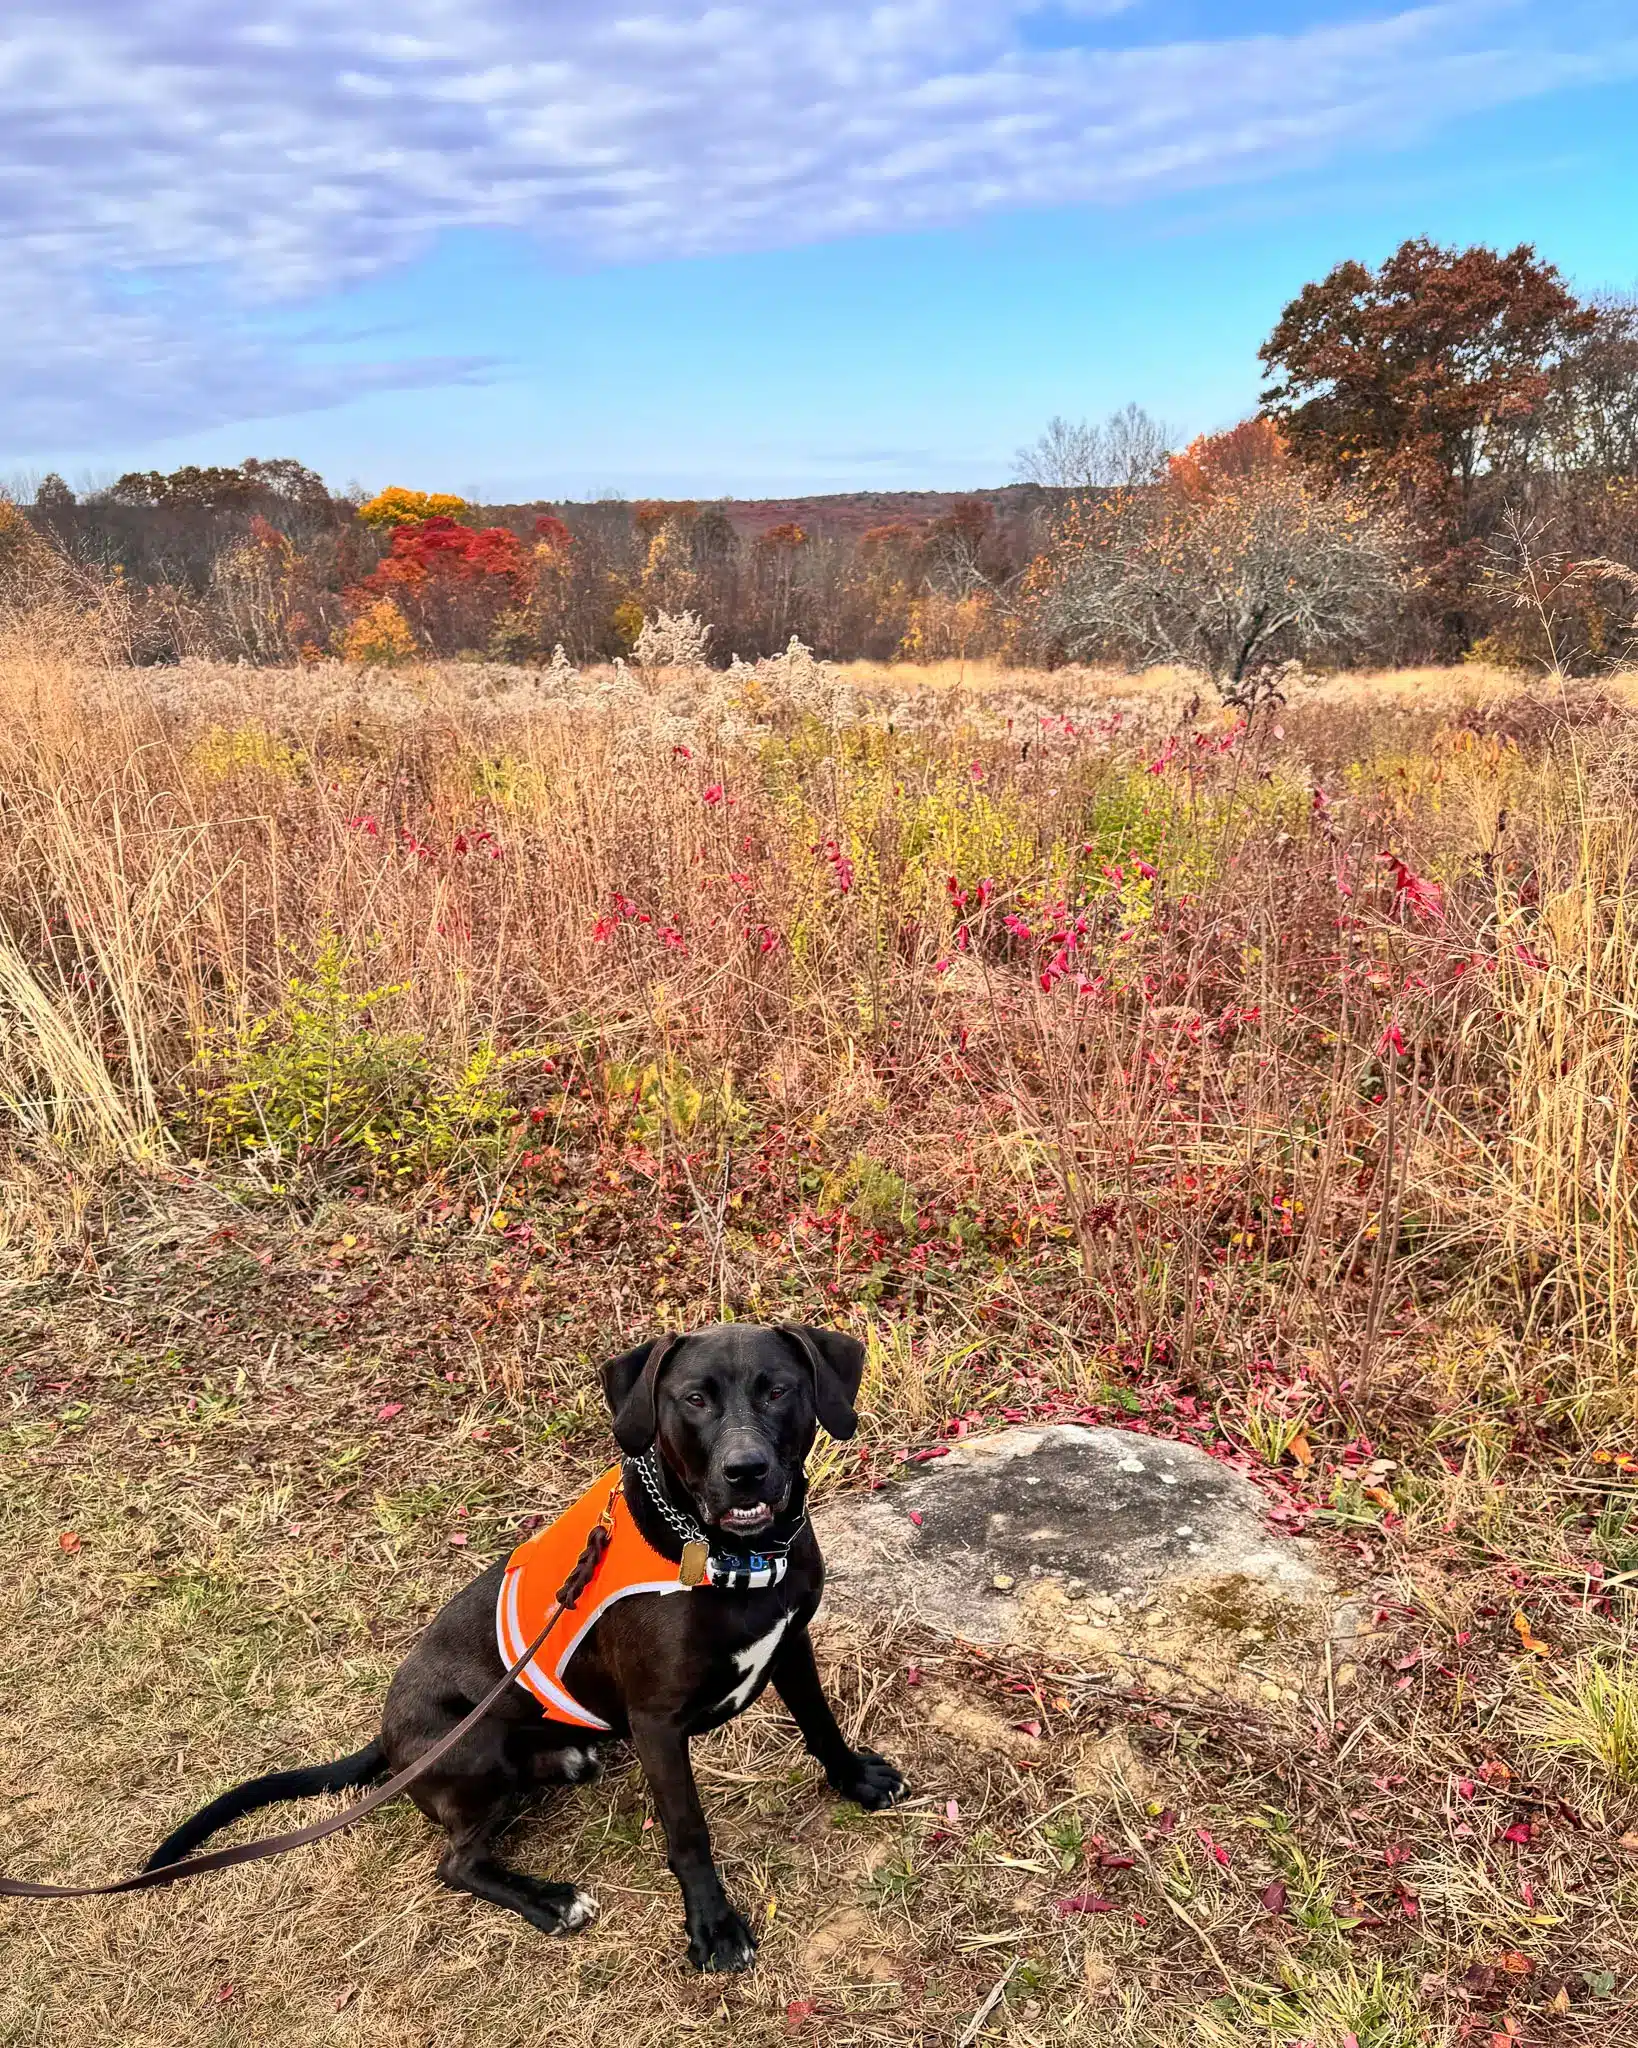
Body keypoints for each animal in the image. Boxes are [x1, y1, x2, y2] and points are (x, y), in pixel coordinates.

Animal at [142, 1327, 900, 1966]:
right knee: (455, 1865)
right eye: (695, 1399)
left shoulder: (791, 1643)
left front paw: (855, 1779)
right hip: (477, 1752)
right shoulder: (658, 1724)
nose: (746, 1469)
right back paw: (551, 1900)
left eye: (778, 1389)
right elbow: (689, 1832)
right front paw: (712, 1928)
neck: (729, 1554)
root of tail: (386, 1737)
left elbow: (821, 1724)